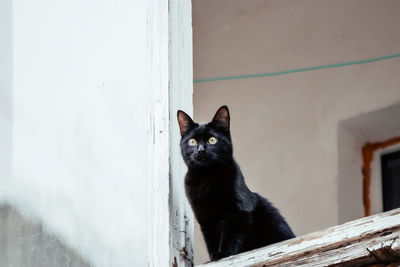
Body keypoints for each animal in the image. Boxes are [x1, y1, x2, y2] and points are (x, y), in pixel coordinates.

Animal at [177, 106, 294, 262]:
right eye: (192, 142)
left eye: (212, 140)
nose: (201, 149)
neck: (206, 177)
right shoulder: (205, 218)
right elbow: (211, 240)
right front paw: (213, 257)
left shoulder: (238, 213)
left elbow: (231, 237)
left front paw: (223, 254)